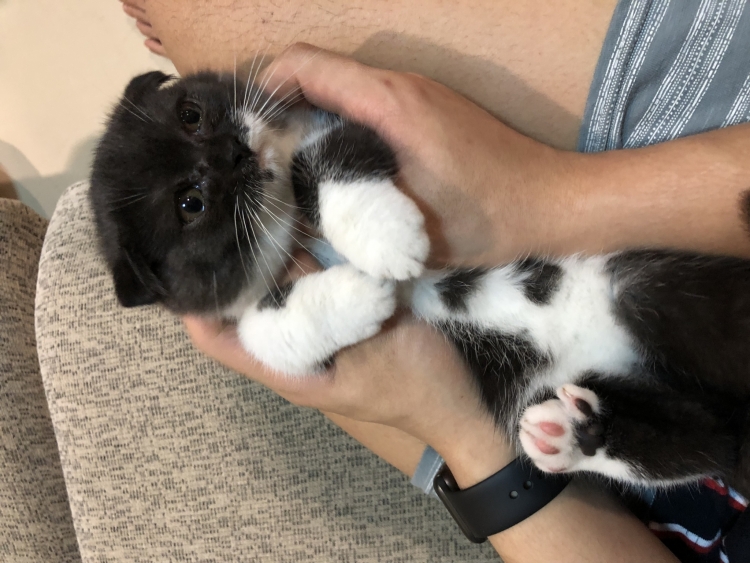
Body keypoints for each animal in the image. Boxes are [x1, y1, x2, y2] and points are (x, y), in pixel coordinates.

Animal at [90, 70, 750, 497]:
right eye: (190, 204)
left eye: (191, 114)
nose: (231, 152)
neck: (284, 216)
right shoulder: (232, 306)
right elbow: (263, 335)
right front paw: (362, 295)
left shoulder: (324, 121)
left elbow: (332, 155)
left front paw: (385, 238)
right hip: (551, 377)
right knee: (708, 440)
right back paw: (576, 434)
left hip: (655, 290)